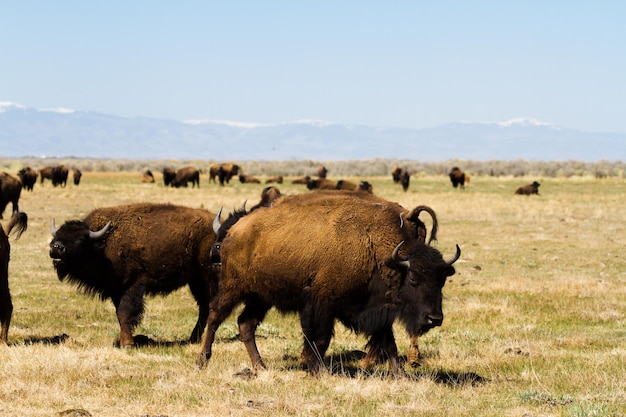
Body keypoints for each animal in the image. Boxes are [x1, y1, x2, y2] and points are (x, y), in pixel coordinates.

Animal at [47, 203, 217, 346]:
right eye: (57, 236)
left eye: (80, 240)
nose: (56, 247)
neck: (102, 246)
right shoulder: (116, 290)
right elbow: (120, 315)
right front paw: (124, 341)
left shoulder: (133, 286)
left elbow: (125, 313)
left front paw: (127, 344)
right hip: (195, 281)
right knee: (204, 306)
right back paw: (193, 339)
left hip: (205, 277)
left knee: (207, 306)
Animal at [196, 190, 458, 376]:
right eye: (413, 278)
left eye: (442, 280)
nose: (435, 318)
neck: (375, 248)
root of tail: (235, 231)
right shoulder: (322, 303)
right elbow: (319, 339)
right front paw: (316, 370)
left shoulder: (378, 308)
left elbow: (388, 342)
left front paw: (400, 374)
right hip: (233, 289)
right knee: (215, 316)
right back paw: (202, 361)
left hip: (261, 297)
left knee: (245, 323)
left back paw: (260, 367)